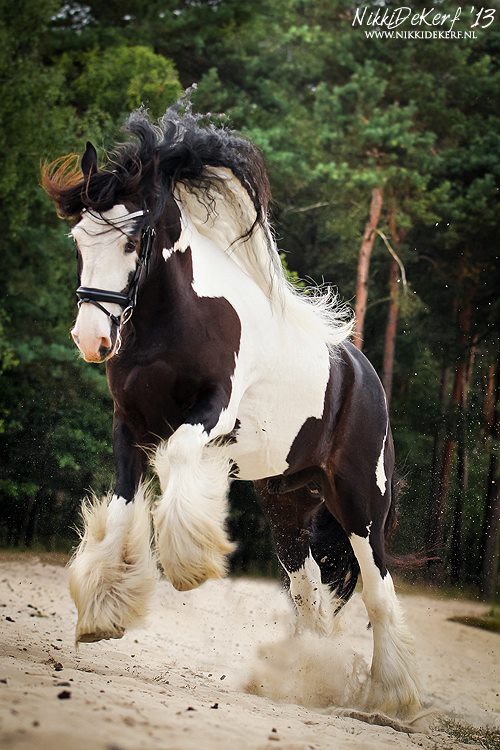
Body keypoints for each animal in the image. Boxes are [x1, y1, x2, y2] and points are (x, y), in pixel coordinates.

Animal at [42, 104, 422, 716]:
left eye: (134, 238)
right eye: (79, 237)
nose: (92, 338)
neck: (174, 322)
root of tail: (365, 377)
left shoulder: (212, 413)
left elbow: (178, 458)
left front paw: (189, 562)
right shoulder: (129, 424)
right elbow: (122, 508)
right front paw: (104, 608)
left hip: (362, 502)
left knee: (378, 590)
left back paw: (393, 698)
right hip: (288, 504)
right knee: (309, 590)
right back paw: (307, 675)